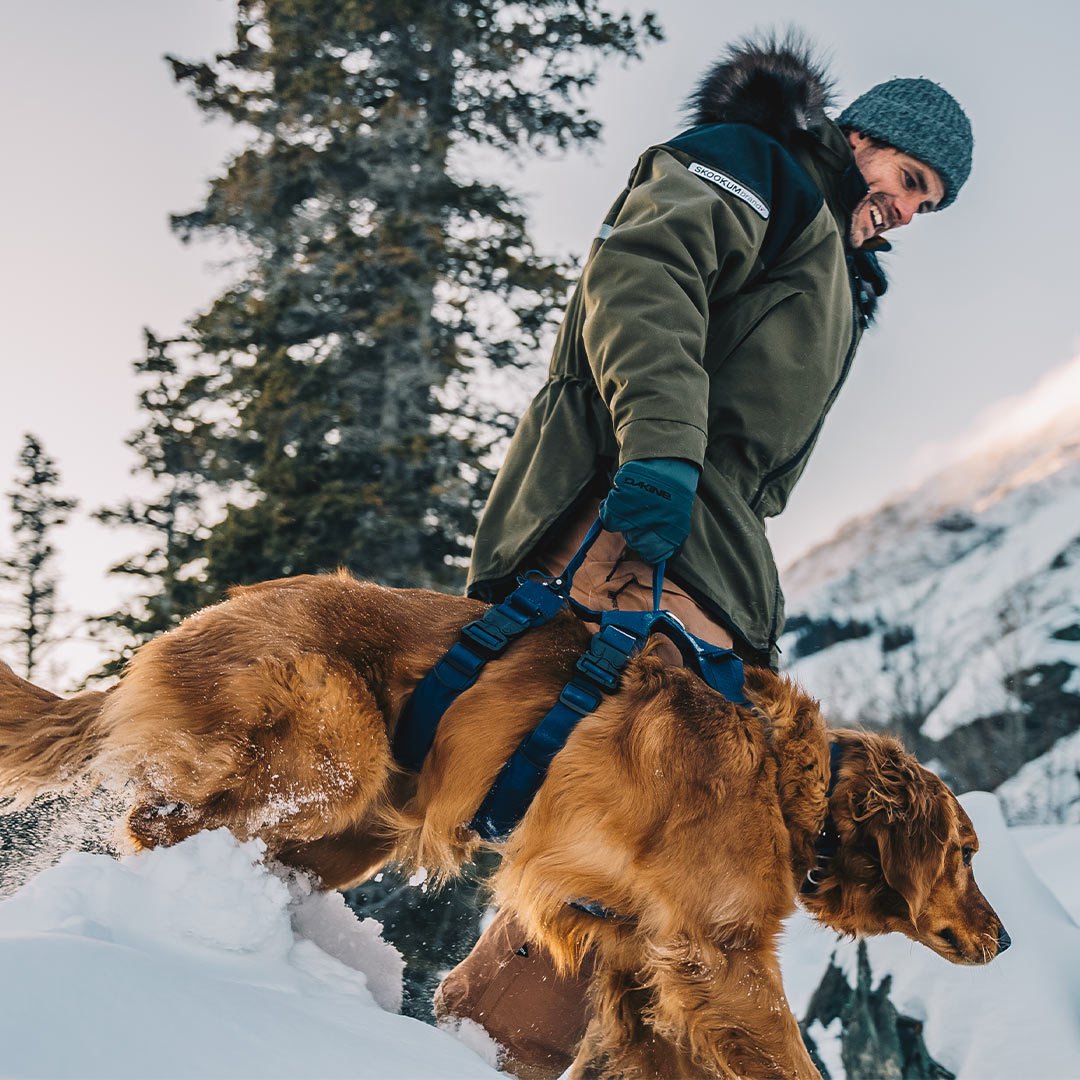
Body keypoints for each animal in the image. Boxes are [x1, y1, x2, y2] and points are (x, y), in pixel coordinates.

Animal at [4, 570, 1006, 1075]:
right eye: (964, 853)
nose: (1003, 941)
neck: (793, 787)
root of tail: (205, 617)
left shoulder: (635, 958)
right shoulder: (716, 952)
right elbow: (785, 1055)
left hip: (356, 827)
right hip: (333, 747)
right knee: (159, 822)